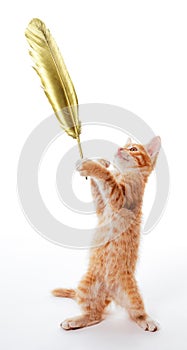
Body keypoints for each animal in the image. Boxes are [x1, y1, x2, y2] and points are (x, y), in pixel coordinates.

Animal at [52, 135, 161, 332]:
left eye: (133, 149)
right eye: (125, 146)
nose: (119, 149)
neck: (125, 174)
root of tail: (110, 294)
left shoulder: (122, 199)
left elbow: (108, 179)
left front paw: (93, 166)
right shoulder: (101, 207)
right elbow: (98, 189)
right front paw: (99, 162)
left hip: (132, 294)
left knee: (135, 312)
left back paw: (147, 320)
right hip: (87, 285)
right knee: (95, 314)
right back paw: (78, 319)